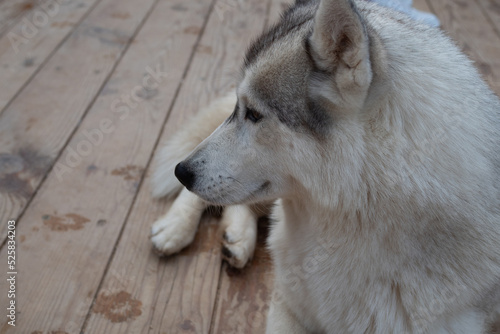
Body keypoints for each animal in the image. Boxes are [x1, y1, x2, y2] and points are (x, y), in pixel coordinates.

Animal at [151, 0, 500, 332]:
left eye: (254, 114)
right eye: (240, 108)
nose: (182, 172)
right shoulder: (286, 305)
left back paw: (237, 235)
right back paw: (177, 227)